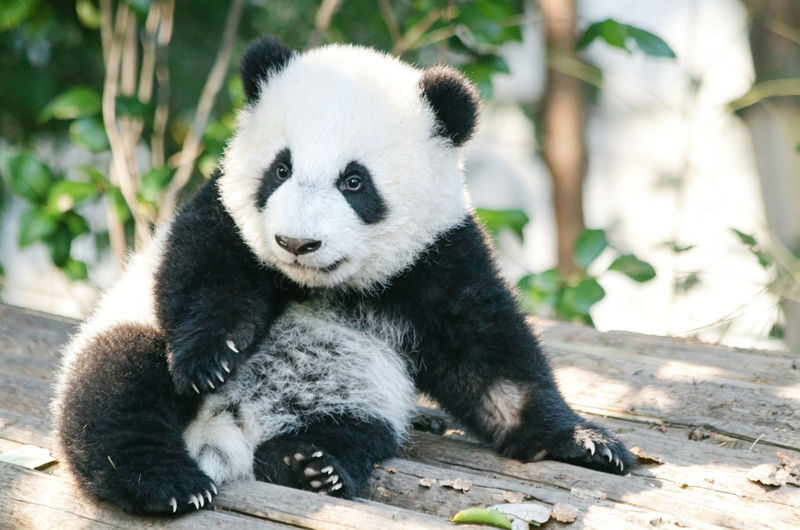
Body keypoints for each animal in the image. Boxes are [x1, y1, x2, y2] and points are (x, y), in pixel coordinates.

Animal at [52, 36, 633, 515]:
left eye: (355, 182)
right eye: (280, 169)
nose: (296, 243)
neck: (319, 284)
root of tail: (225, 435)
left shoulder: (437, 255)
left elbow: (490, 358)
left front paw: (586, 442)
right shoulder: (222, 215)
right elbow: (203, 273)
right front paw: (207, 358)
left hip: (357, 399)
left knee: (354, 432)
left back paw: (311, 466)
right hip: (125, 335)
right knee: (117, 391)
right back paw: (167, 482)